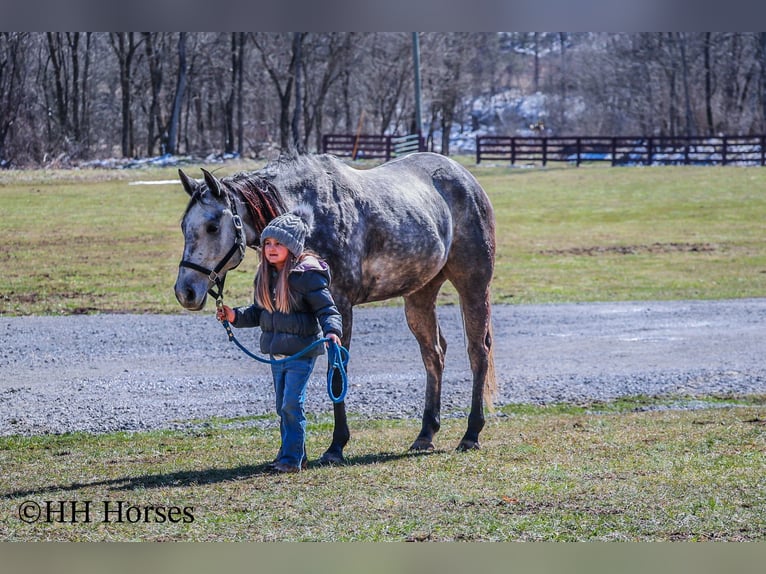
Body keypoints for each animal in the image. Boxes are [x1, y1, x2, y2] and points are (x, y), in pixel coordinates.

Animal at [174, 152, 496, 464]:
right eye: (184, 227)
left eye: (212, 226)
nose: (185, 292)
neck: (311, 217)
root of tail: (465, 179)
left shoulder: (339, 306)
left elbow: (337, 372)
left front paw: (336, 446)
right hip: (419, 295)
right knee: (433, 354)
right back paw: (426, 433)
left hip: (473, 286)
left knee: (477, 351)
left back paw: (471, 433)